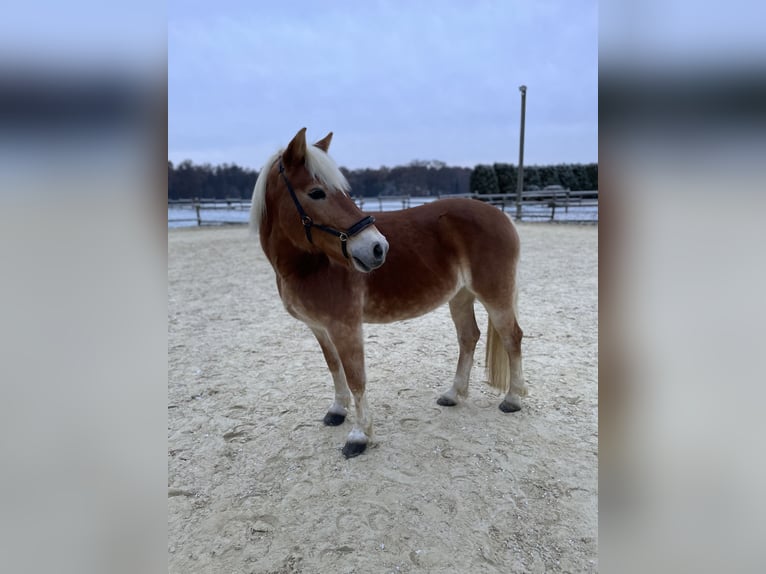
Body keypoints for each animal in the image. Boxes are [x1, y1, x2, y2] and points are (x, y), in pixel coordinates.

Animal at [252, 129, 528, 460]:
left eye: (343, 192)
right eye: (316, 193)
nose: (378, 248)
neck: (309, 265)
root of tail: (502, 216)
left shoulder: (345, 327)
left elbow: (356, 378)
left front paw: (359, 436)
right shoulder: (319, 328)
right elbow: (334, 368)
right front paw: (337, 411)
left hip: (495, 296)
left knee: (512, 337)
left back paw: (512, 400)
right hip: (460, 296)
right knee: (468, 337)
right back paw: (453, 394)